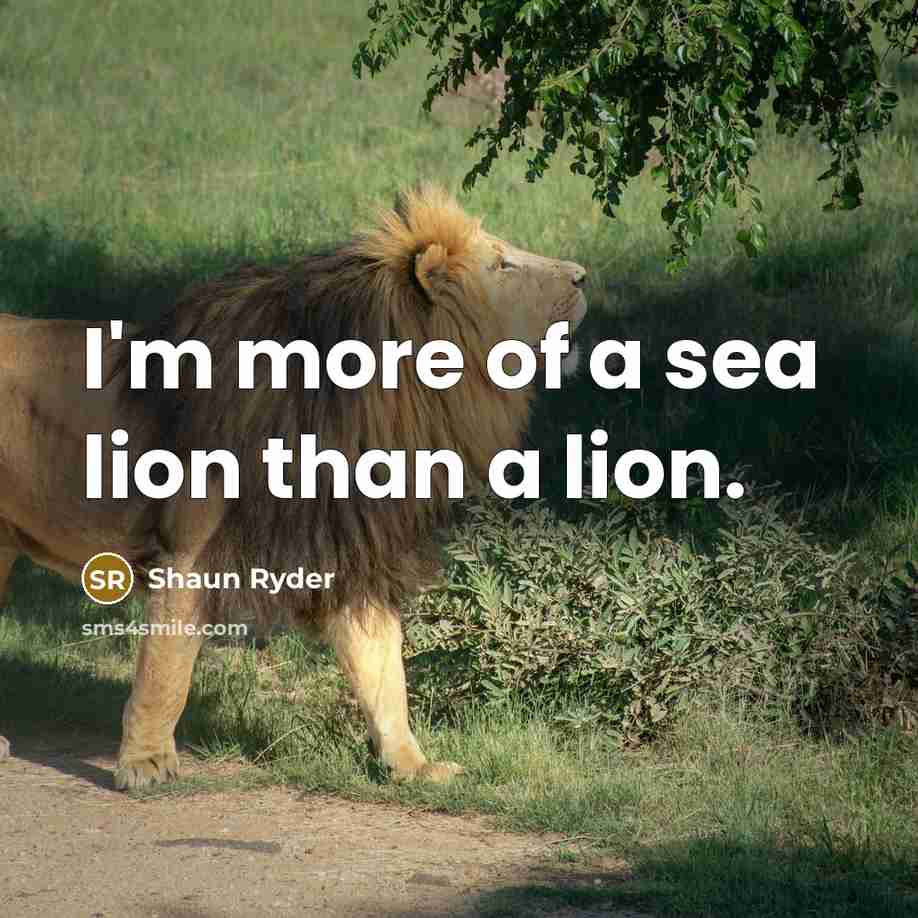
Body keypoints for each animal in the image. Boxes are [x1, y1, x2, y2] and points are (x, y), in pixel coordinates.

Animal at [0, 185, 587, 788]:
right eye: (503, 264)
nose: (583, 275)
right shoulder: (188, 553)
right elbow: (166, 671)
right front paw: (144, 765)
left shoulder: (346, 549)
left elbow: (383, 672)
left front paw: (413, 766)